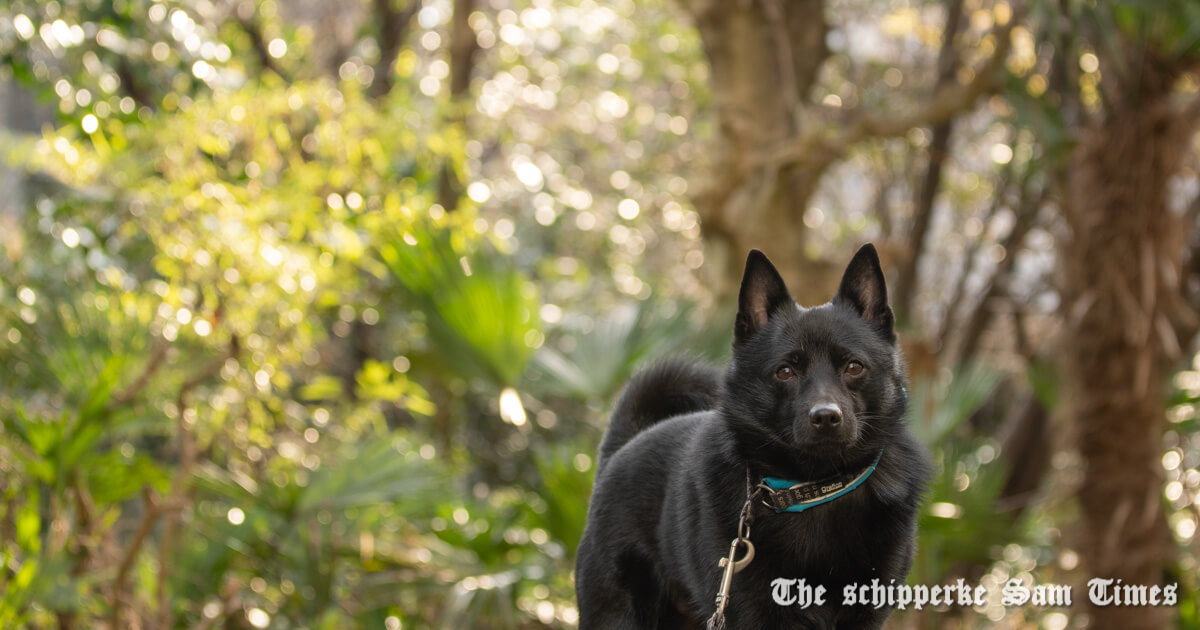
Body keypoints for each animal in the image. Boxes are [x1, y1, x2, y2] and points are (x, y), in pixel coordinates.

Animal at [576, 246, 931, 628]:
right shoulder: (751, 614)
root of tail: (623, 447)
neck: (813, 490)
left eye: (854, 367)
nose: (825, 416)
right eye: (785, 371)